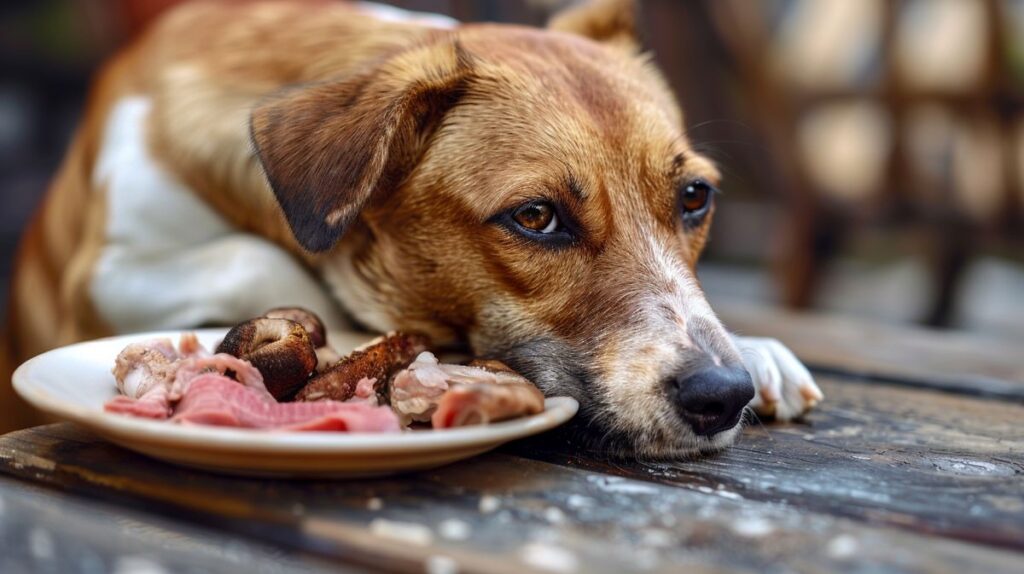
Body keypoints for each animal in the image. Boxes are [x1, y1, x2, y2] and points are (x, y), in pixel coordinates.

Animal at [0, 0, 819, 454]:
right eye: (536, 217)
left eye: (694, 197)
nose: (723, 394)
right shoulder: (104, 274)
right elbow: (256, 259)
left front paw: (758, 346)